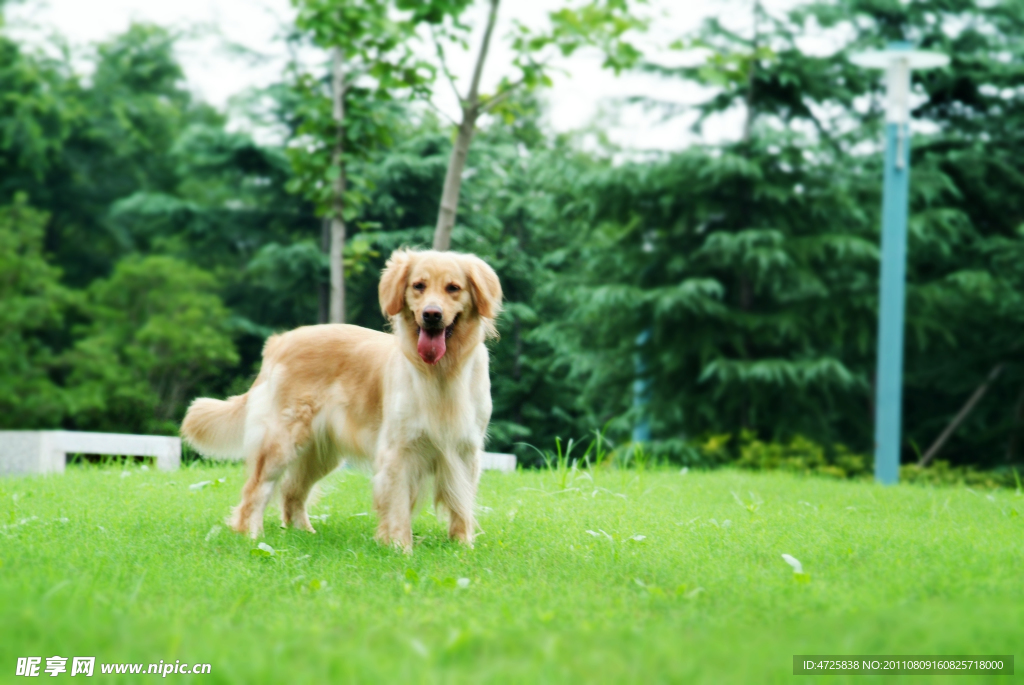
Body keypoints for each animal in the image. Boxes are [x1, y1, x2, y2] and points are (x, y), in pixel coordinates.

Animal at [185, 248, 507, 552]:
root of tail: (278, 341)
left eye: (453, 288)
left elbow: (462, 504)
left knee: (291, 491)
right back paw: (251, 535)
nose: (431, 314)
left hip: (321, 452)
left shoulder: (465, 449)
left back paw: (304, 533)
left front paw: (463, 547)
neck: (442, 373)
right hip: (282, 441)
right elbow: (398, 505)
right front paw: (400, 548)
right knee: (256, 490)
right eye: (419, 286)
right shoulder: (398, 449)